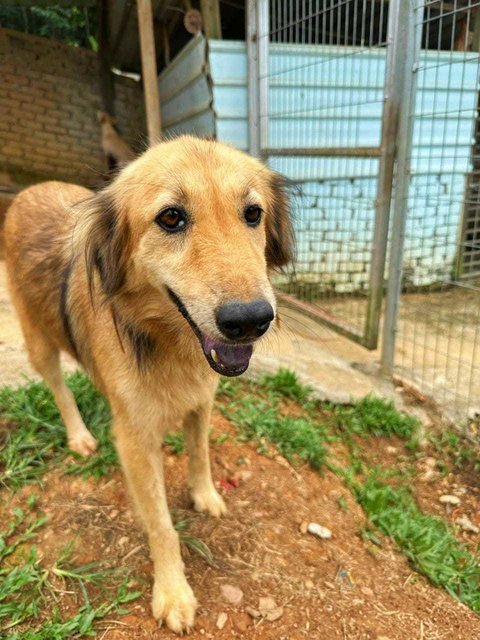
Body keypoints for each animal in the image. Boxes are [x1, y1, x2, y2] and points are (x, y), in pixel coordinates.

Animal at [4, 136, 292, 636]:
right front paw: (173, 591)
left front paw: (205, 495)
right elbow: (161, 524)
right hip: (37, 337)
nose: (251, 321)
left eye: (253, 213)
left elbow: (200, 455)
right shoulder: (136, 439)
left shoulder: (202, 401)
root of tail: (30, 189)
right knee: (58, 385)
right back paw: (79, 435)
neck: (167, 342)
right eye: (171, 217)